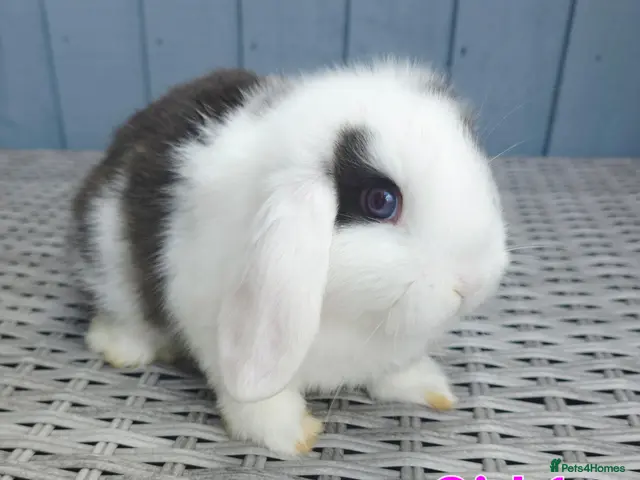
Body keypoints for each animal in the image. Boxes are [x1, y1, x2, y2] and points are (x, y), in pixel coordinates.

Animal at [68, 59, 509, 456]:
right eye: (380, 201)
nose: (473, 283)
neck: (354, 316)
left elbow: (395, 370)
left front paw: (430, 388)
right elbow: (255, 398)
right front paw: (291, 435)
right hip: (111, 268)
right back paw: (125, 349)